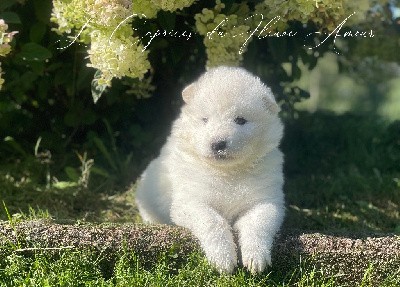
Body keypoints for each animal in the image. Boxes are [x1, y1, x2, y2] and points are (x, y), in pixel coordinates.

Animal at [136, 66, 286, 276]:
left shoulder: (265, 200)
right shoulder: (191, 201)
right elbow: (212, 221)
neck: (227, 173)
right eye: (205, 120)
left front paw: (255, 259)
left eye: (240, 120)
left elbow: (258, 223)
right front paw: (223, 260)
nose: (218, 144)